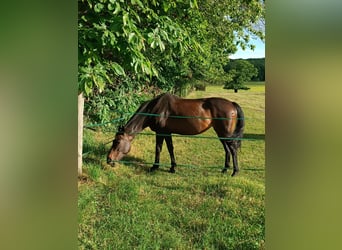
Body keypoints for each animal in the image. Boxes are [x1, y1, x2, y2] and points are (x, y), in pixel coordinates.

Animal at [107, 93, 243, 177]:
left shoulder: (162, 132)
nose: (109, 160)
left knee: (233, 149)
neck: (154, 110)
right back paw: (225, 169)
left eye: (117, 142)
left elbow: (160, 148)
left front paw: (155, 167)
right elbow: (170, 149)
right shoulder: (167, 133)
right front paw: (172, 167)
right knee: (227, 150)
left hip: (225, 134)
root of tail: (231, 104)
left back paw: (235, 172)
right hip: (221, 134)